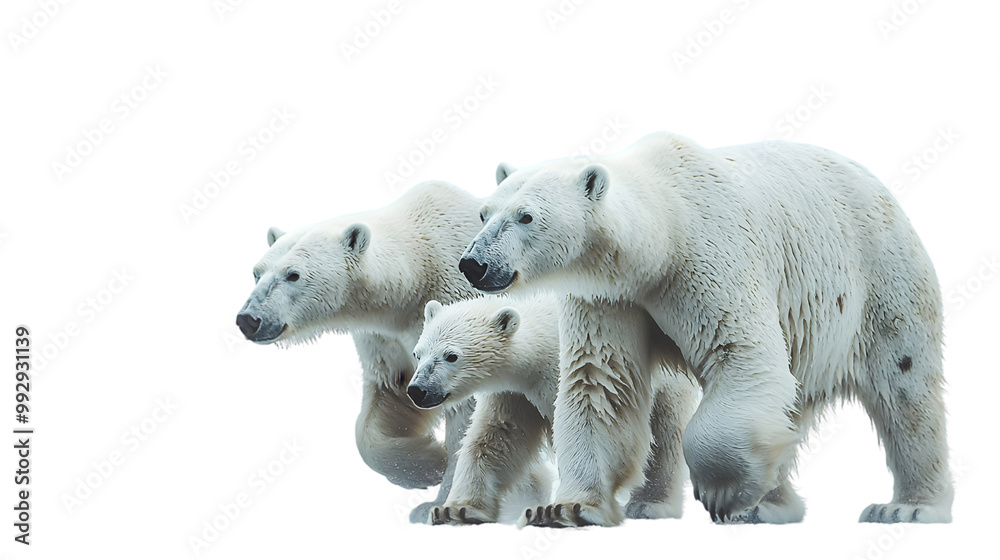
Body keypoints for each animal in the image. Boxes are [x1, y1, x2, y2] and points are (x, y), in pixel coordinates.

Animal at [236, 180, 531, 523]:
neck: (417, 272)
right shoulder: (385, 335)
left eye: (293, 274)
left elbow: (465, 409)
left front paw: (437, 501)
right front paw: (427, 464)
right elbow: (391, 393)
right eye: (257, 272)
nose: (248, 319)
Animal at [408, 294, 698, 525]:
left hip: (667, 384)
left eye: (451, 356)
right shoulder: (516, 394)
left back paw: (650, 504)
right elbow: (496, 437)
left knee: (666, 435)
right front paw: (455, 510)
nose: (417, 390)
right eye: (417, 353)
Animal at [458, 132, 953, 526]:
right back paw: (771, 504)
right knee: (790, 406)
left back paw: (908, 507)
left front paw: (721, 492)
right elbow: (601, 382)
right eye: (484, 213)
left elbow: (742, 354)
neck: (662, 229)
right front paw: (565, 508)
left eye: (525, 216)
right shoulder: (609, 297)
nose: (474, 264)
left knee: (905, 385)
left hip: (879, 277)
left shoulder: (709, 258)